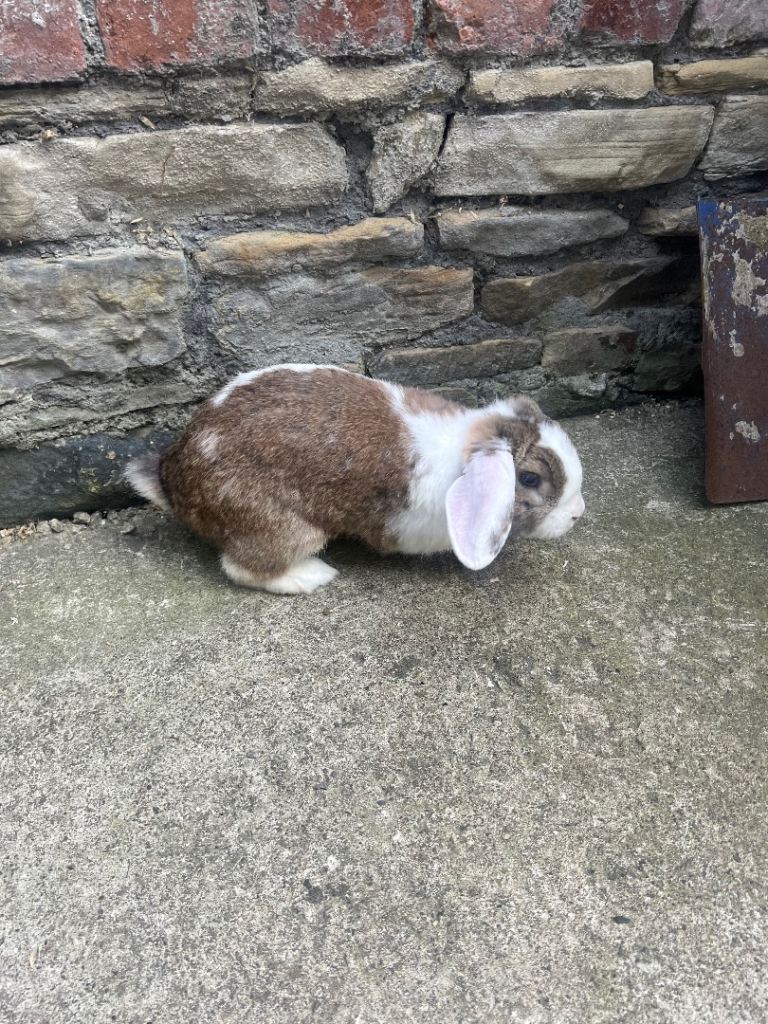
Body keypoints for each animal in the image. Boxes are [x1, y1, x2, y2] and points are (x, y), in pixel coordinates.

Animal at [125, 363, 585, 595]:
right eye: (529, 479)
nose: (577, 514)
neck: (462, 454)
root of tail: (172, 479)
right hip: (283, 528)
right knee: (241, 567)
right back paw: (313, 575)